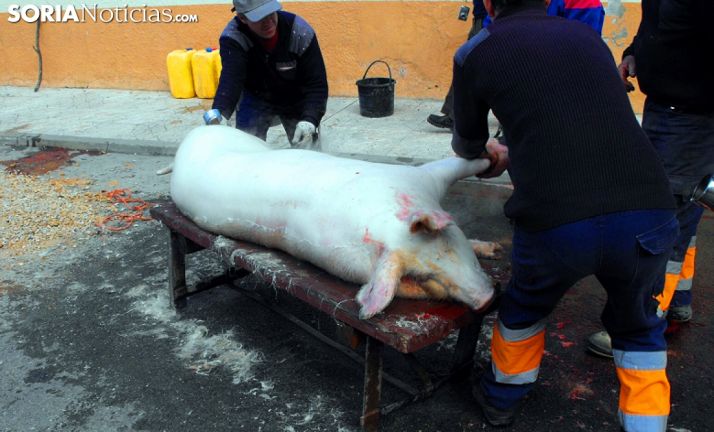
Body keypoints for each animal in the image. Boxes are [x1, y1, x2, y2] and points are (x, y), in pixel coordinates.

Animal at [170, 125, 496, 319]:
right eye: (426, 277)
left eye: (445, 246)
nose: (487, 300)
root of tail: (191, 136)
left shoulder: (416, 177)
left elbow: (460, 163)